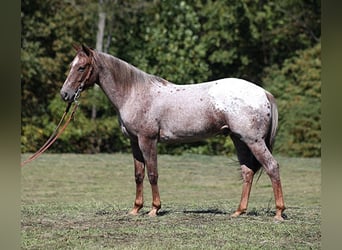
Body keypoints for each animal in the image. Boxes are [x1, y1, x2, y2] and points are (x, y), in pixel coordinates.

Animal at [60, 45, 284, 221]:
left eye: (81, 67)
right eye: (71, 66)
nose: (65, 94)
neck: (134, 93)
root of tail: (264, 92)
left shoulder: (148, 140)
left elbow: (153, 174)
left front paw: (154, 209)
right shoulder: (134, 142)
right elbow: (139, 175)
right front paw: (135, 209)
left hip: (253, 141)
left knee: (272, 167)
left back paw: (279, 212)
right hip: (239, 140)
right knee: (247, 172)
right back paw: (239, 211)